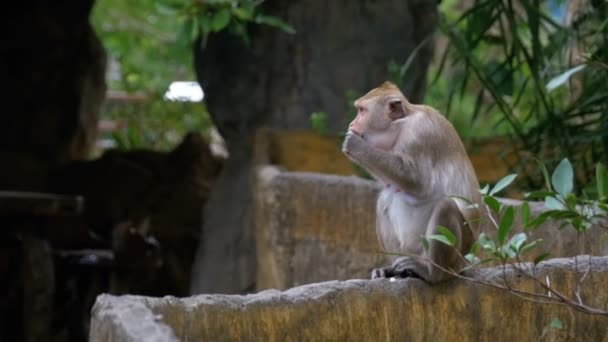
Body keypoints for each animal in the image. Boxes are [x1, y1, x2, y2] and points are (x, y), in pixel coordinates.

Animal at [342, 81, 480, 284]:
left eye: (361, 111)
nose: (352, 123)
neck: (401, 124)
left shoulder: (420, 133)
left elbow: (416, 180)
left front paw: (355, 145)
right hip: (411, 249)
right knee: (384, 200)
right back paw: (393, 270)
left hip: (458, 255)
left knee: (445, 206)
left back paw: (433, 273)